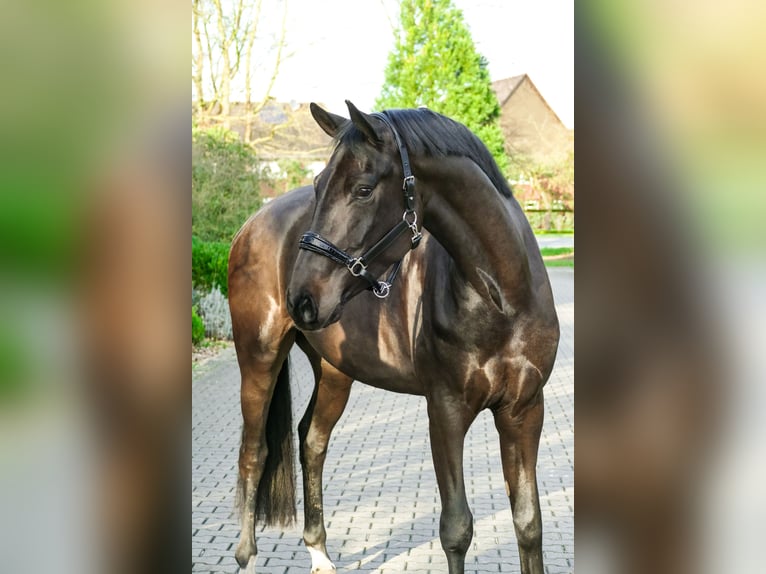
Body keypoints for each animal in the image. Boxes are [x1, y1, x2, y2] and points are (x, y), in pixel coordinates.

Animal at [226, 101, 560, 572]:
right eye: (318, 184)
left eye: (363, 189)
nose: (301, 298)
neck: (503, 298)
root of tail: (251, 224)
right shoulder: (445, 411)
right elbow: (456, 529)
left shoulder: (524, 410)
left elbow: (528, 522)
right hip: (259, 359)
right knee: (254, 452)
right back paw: (248, 555)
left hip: (334, 373)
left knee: (312, 441)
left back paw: (319, 551)